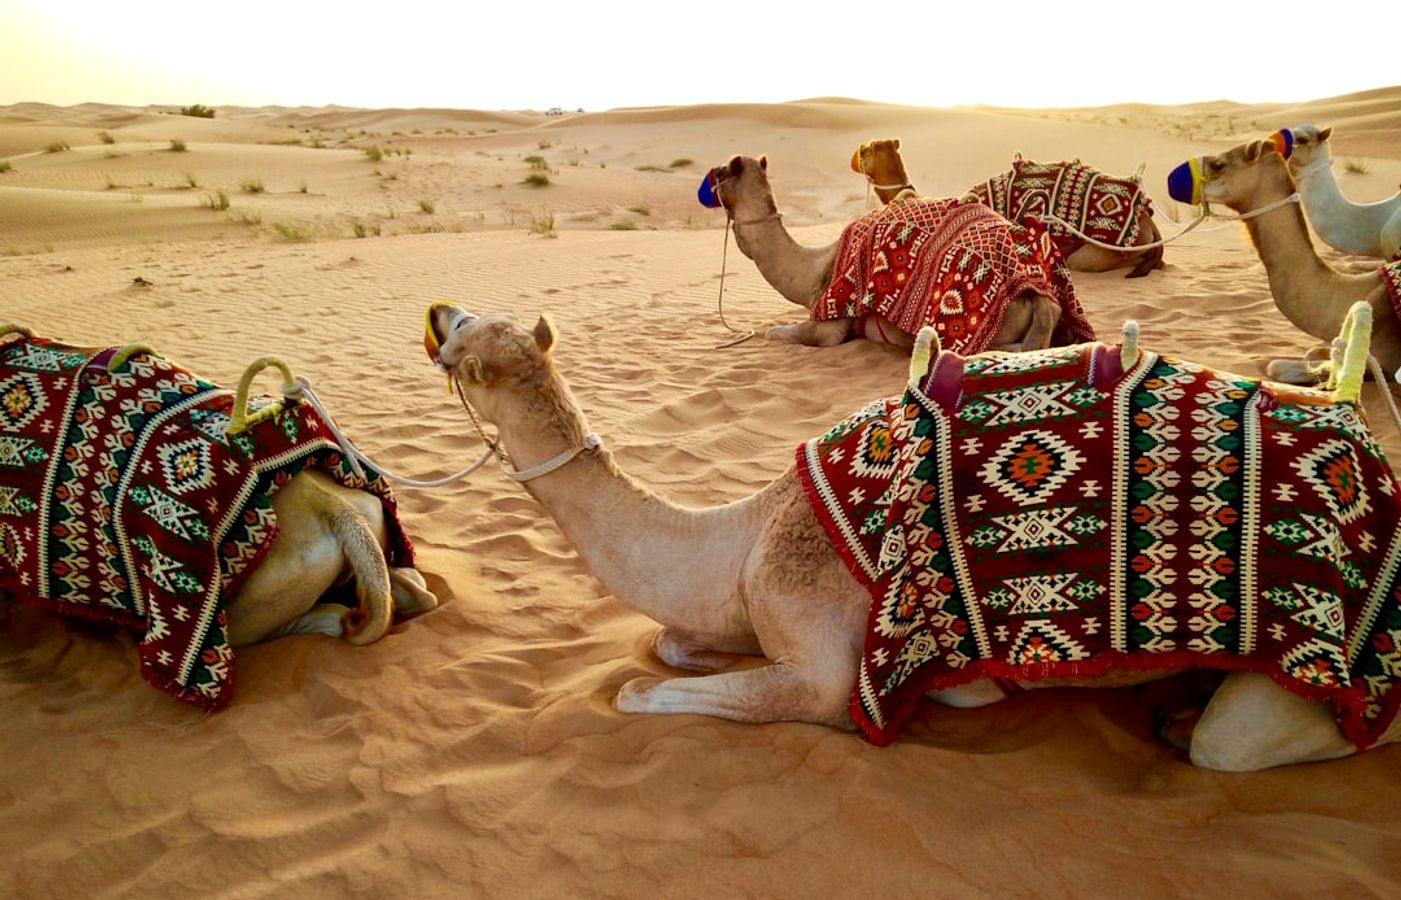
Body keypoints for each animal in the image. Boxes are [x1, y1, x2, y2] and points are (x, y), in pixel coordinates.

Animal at [425, 302, 1401, 771]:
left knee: (1256, 742)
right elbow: (669, 646)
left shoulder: (821, 664)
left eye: (467, 343)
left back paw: (1185, 722)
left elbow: (641, 690)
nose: (436, 312)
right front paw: (969, 690)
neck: (742, 536)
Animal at [699, 155, 1093, 353]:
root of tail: (1038, 294)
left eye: (720, 172)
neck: (812, 267)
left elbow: (778, 333)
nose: (706, 185)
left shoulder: (830, 320)